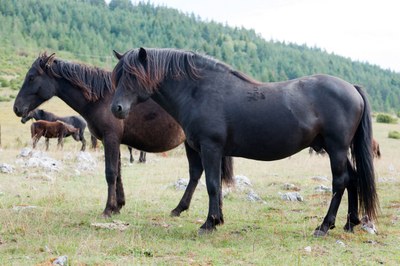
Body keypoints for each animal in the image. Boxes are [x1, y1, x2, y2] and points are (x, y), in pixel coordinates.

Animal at [13, 52, 234, 218]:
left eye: (31, 77)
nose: (17, 108)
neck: (101, 98)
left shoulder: (111, 139)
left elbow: (110, 173)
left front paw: (107, 209)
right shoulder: (113, 142)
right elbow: (118, 172)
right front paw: (118, 205)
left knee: (196, 172)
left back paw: (183, 208)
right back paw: (185, 209)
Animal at [111, 47, 380, 237]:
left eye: (133, 76)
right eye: (117, 76)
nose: (117, 108)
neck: (199, 91)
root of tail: (352, 88)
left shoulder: (210, 148)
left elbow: (211, 184)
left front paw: (208, 223)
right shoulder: (214, 151)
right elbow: (217, 185)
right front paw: (217, 219)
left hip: (336, 148)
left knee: (340, 181)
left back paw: (324, 226)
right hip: (335, 148)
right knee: (353, 178)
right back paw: (350, 223)